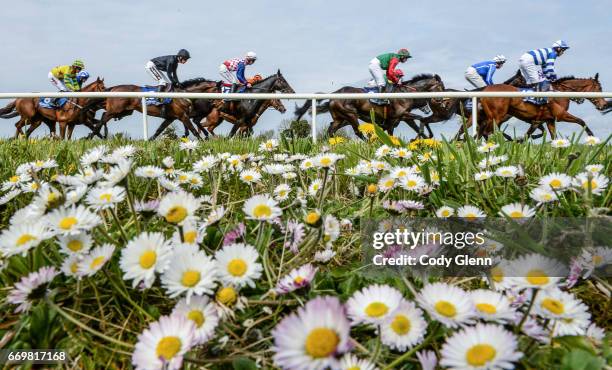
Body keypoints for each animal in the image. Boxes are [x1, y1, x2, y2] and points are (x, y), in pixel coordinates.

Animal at [292, 73, 442, 139]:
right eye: (441, 87)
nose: (441, 101)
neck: (404, 94)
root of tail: (333, 95)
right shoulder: (399, 116)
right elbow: (420, 119)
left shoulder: (401, 118)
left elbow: (417, 126)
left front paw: (424, 138)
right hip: (351, 115)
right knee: (357, 131)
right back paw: (366, 142)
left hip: (341, 118)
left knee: (331, 130)